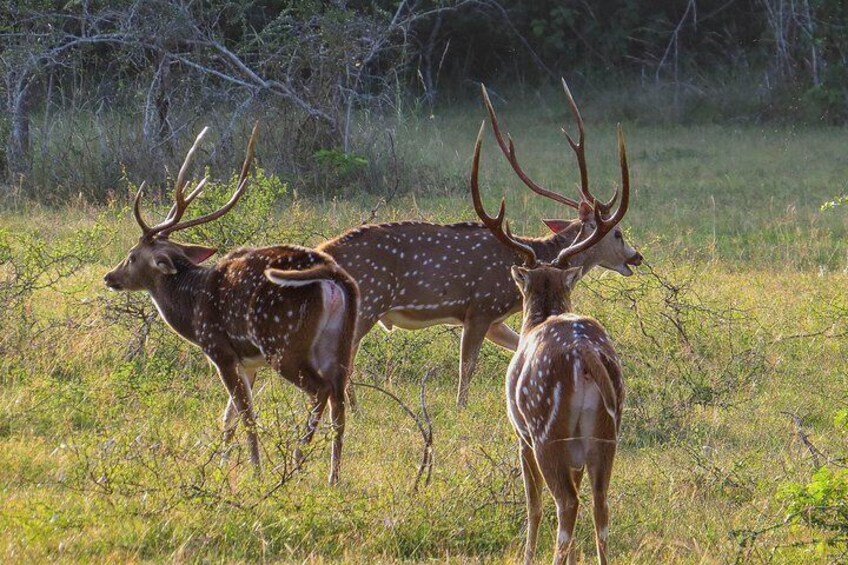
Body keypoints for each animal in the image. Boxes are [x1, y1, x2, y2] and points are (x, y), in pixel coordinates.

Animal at [102, 126, 358, 484]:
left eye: (131, 256)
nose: (109, 277)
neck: (192, 305)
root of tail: (335, 278)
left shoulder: (220, 350)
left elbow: (246, 414)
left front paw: (255, 470)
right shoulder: (247, 361)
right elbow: (229, 416)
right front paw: (222, 464)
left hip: (284, 342)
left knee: (320, 391)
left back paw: (295, 462)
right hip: (340, 343)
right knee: (339, 397)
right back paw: (332, 477)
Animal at [322, 79, 640, 406]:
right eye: (618, 232)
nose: (636, 256)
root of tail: (324, 251)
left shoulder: (495, 320)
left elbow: (519, 346)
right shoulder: (480, 308)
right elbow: (467, 370)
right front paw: (460, 408)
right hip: (367, 303)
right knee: (343, 361)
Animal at [474, 120, 628, 564]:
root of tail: (585, 355)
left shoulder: (519, 433)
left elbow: (532, 504)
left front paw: (525, 554)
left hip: (545, 429)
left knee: (565, 504)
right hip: (606, 432)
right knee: (600, 504)